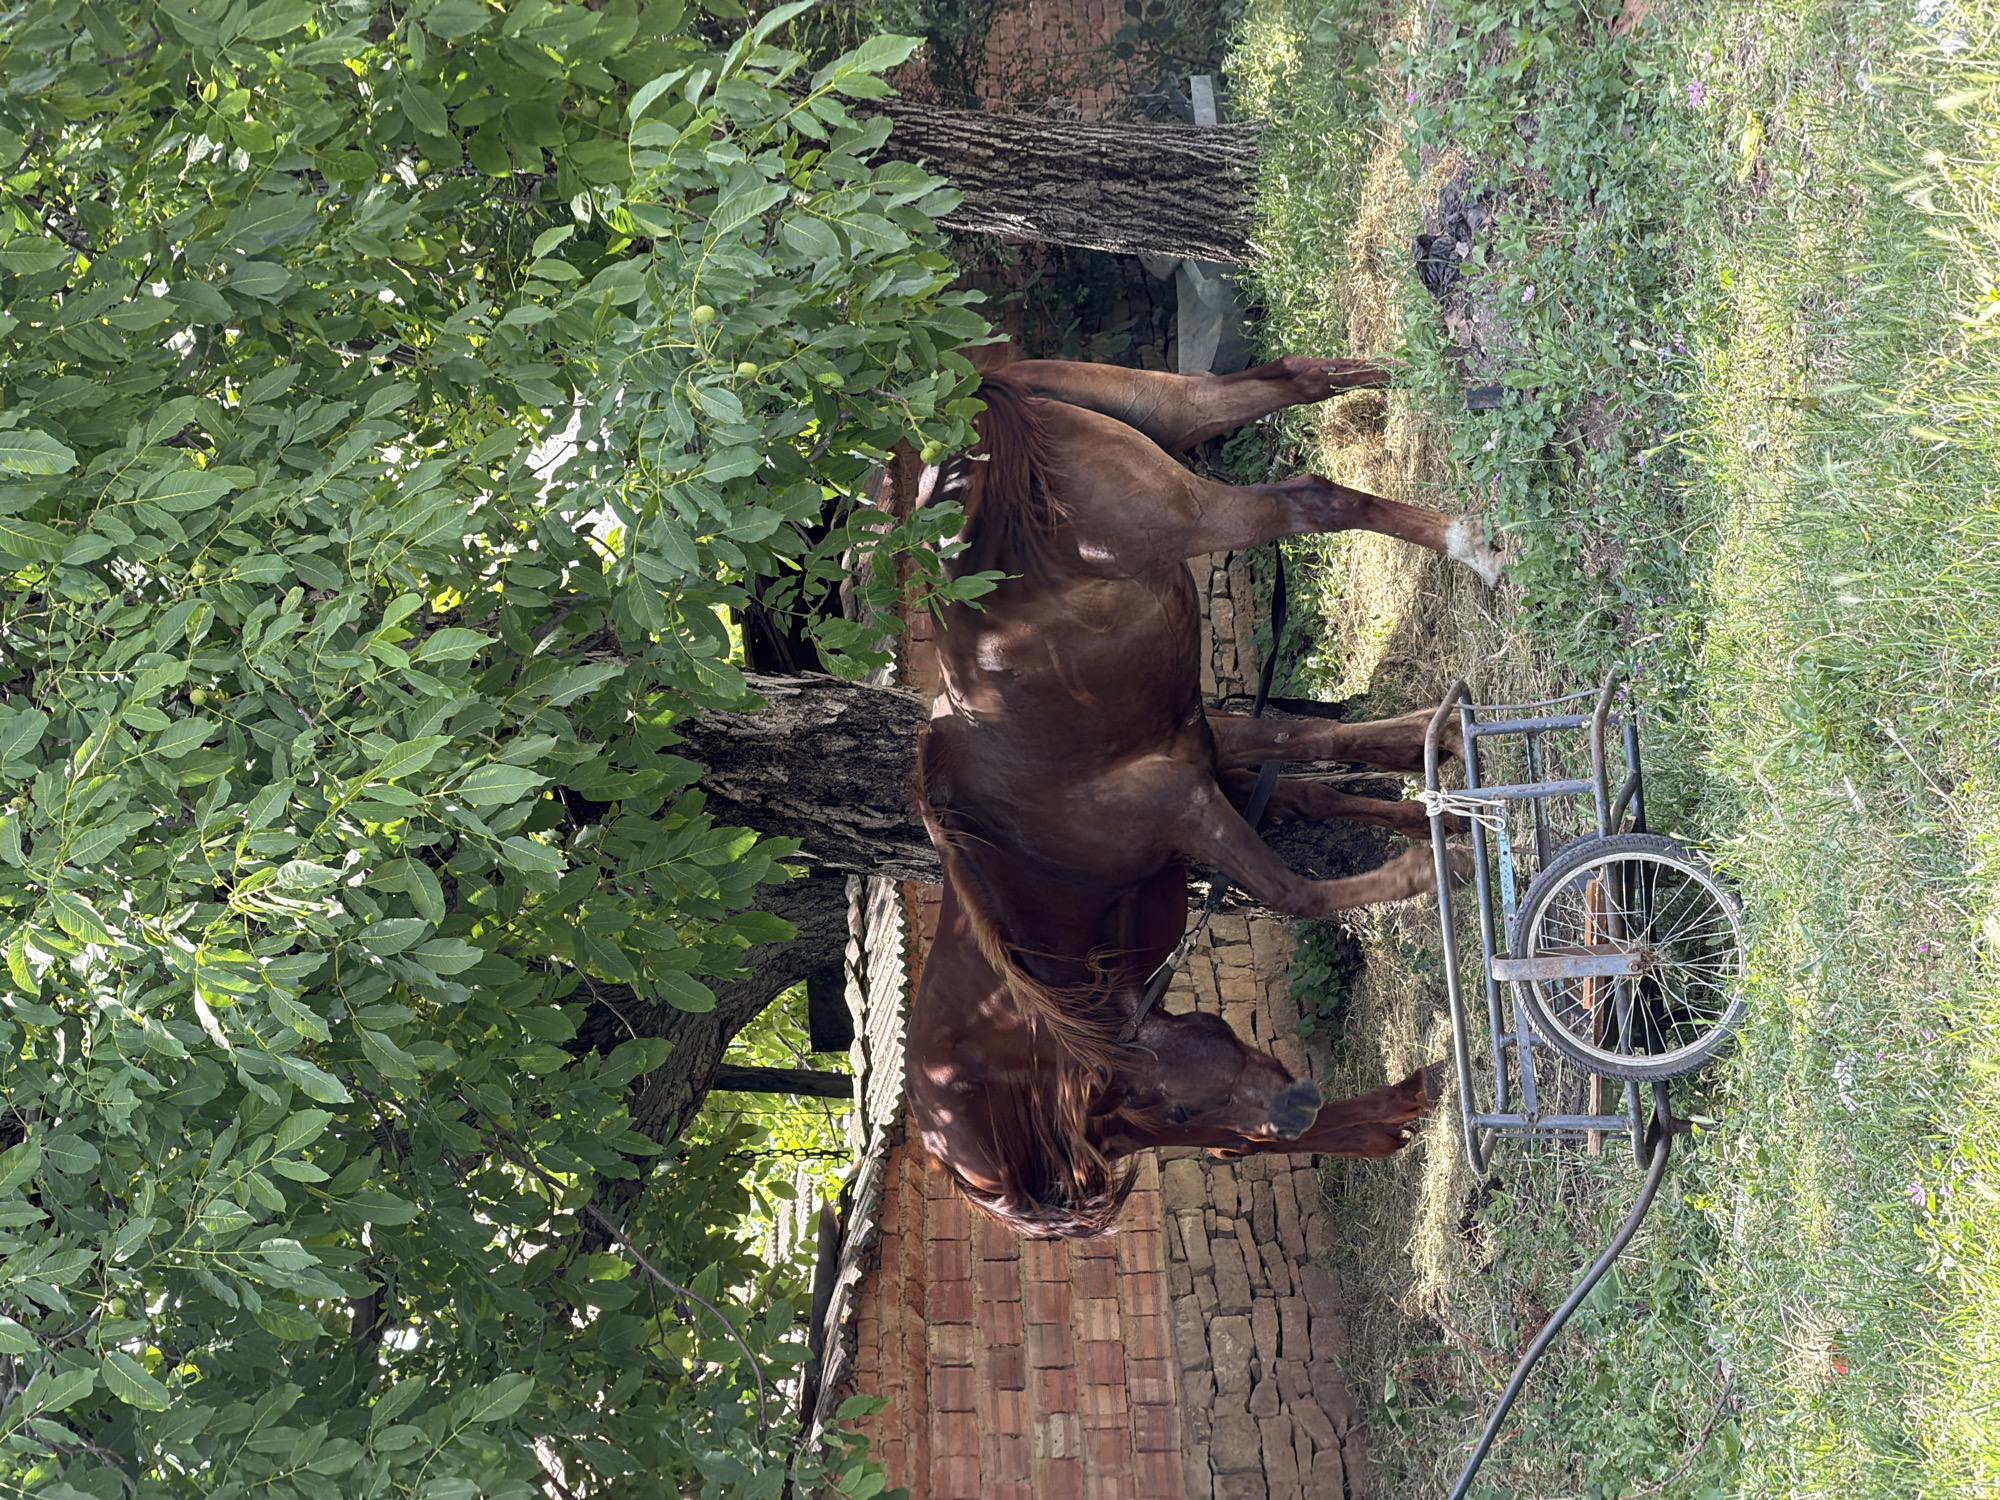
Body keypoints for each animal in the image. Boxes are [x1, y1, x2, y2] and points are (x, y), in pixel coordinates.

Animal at [904, 354, 1504, 1237]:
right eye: (1177, 1113)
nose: (1289, 1109)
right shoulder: (1206, 745)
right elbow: (1313, 758)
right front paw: (1438, 778)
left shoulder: (1185, 800)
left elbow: (1296, 887)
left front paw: (1439, 858)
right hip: (1174, 414)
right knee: (1288, 384)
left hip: (1184, 510)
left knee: (1309, 499)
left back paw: (1473, 546)